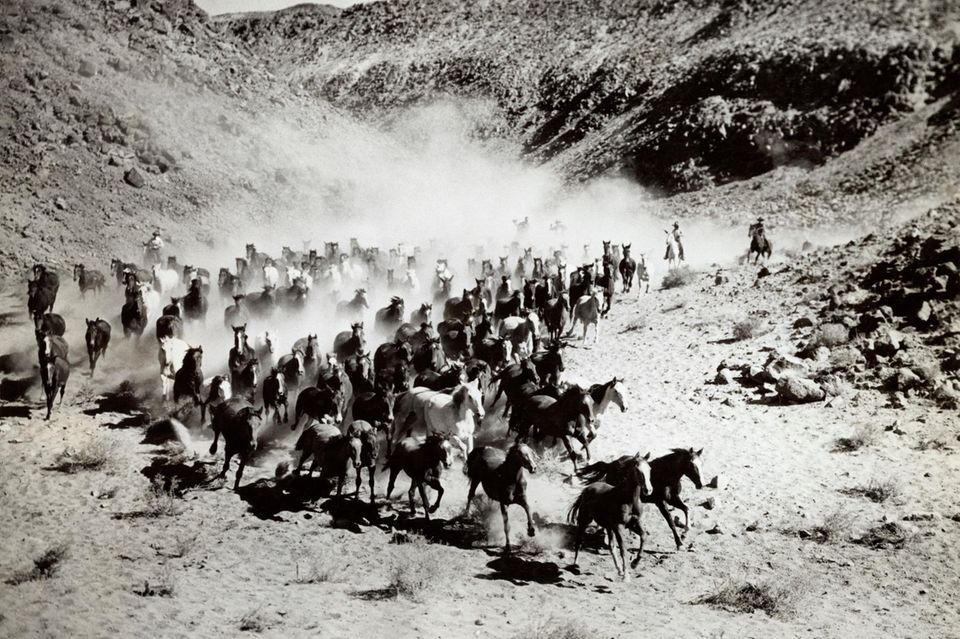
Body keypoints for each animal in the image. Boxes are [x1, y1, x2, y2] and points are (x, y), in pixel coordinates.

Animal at [576, 450, 704, 560]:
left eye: (701, 463)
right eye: (691, 464)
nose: (700, 484)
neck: (665, 474)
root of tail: (611, 464)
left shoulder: (672, 499)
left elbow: (686, 509)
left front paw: (685, 533)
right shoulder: (661, 502)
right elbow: (671, 522)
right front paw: (680, 544)